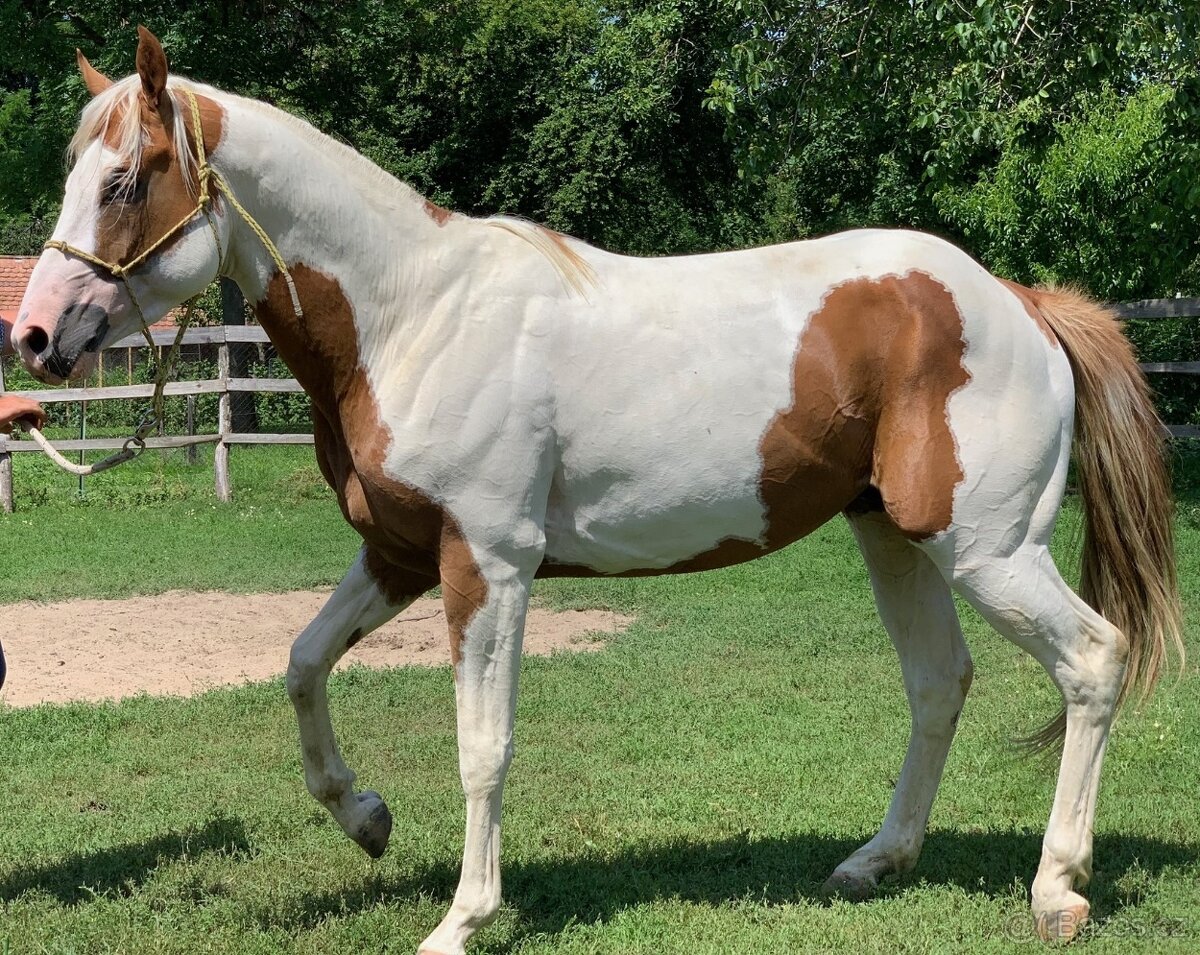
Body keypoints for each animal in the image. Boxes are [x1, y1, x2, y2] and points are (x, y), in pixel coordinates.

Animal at [12, 27, 1182, 953]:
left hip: (989, 550)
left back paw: (1057, 890)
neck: (413, 315)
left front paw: (462, 918)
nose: (35, 337)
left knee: (1093, 659)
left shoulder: (486, 565)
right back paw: (875, 861)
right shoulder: (398, 555)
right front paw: (367, 817)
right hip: (895, 538)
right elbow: (301, 665)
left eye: (126, 180)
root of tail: (1020, 304)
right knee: (940, 682)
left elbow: (482, 745)